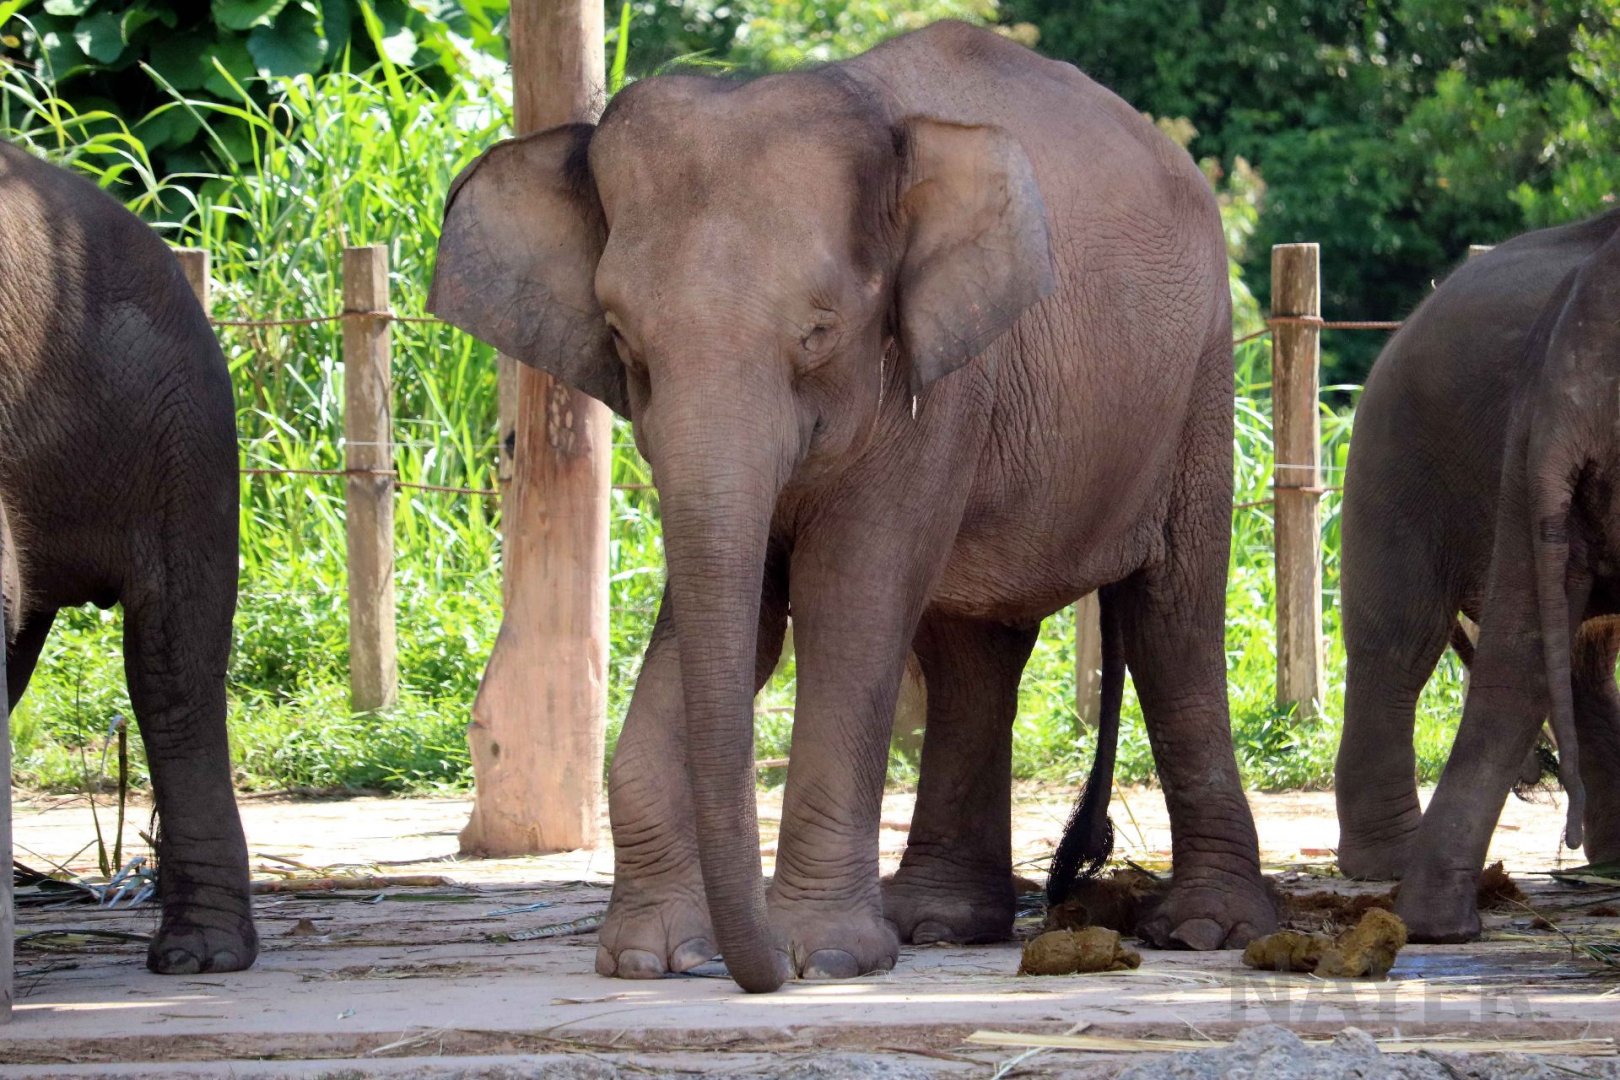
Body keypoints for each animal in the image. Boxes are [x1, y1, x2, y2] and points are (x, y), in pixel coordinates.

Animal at [430, 21, 1275, 994]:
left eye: (819, 332)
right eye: (622, 340)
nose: (738, 964)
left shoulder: (936, 383)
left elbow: (849, 600)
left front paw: (826, 958)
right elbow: (737, 617)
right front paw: (647, 957)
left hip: (1201, 377)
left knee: (1173, 617)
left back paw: (1206, 929)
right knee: (971, 649)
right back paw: (941, 923)